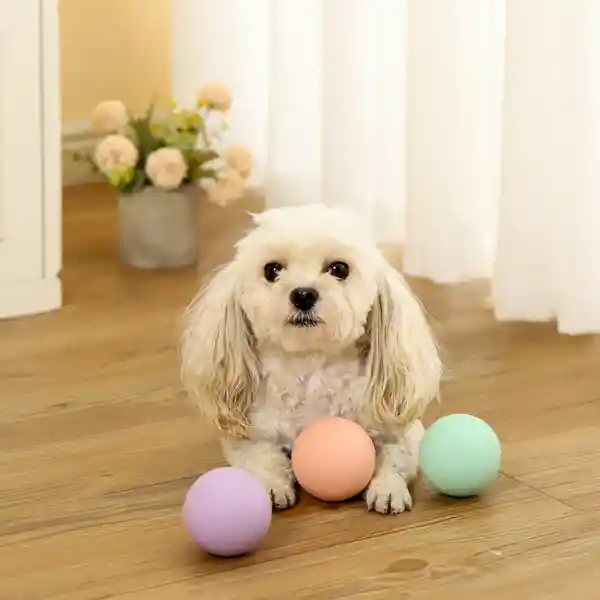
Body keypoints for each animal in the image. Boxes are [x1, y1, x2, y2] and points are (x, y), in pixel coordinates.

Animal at [180, 204, 442, 512]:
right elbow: (262, 458)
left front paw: (388, 488)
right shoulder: (248, 436)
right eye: (272, 270)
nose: (303, 294)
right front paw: (272, 486)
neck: (311, 367)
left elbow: (395, 456)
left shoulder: (401, 431)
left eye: (339, 269)